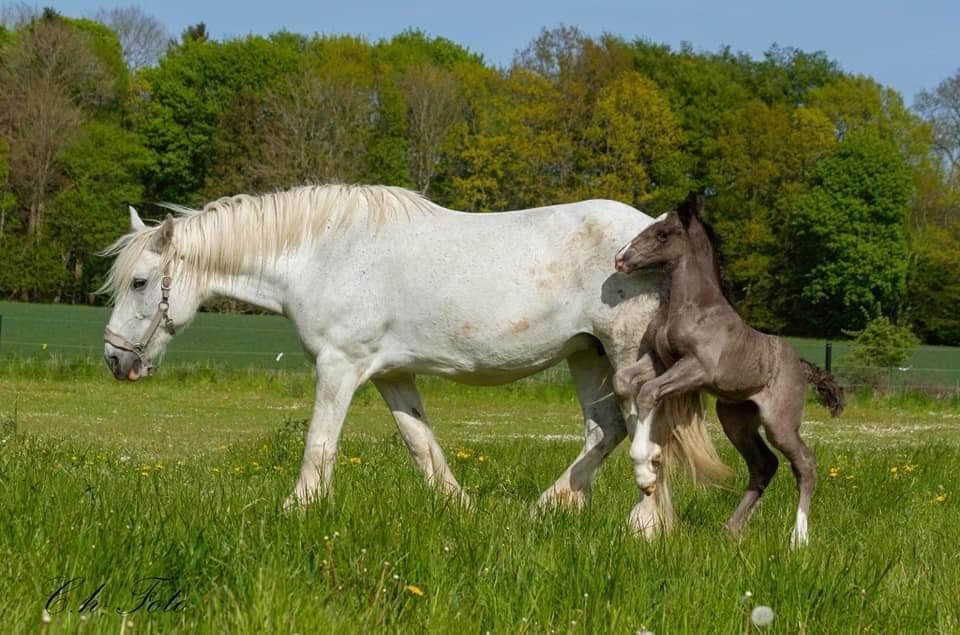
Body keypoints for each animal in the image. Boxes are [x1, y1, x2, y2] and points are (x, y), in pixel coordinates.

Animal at [99, 185, 728, 536]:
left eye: (139, 281)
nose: (114, 359)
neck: (322, 254)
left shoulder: (339, 367)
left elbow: (319, 445)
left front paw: (296, 510)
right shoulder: (392, 374)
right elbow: (421, 444)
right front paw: (461, 509)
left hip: (624, 356)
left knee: (646, 430)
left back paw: (646, 525)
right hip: (586, 356)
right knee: (606, 430)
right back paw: (552, 508)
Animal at [616, 194, 840, 548]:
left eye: (662, 234)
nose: (621, 259)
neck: (691, 307)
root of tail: (803, 367)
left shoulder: (695, 369)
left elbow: (649, 392)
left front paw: (645, 471)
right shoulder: (658, 360)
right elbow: (623, 381)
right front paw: (646, 456)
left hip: (779, 423)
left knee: (805, 464)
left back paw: (798, 537)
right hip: (734, 418)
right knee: (764, 465)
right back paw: (732, 529)